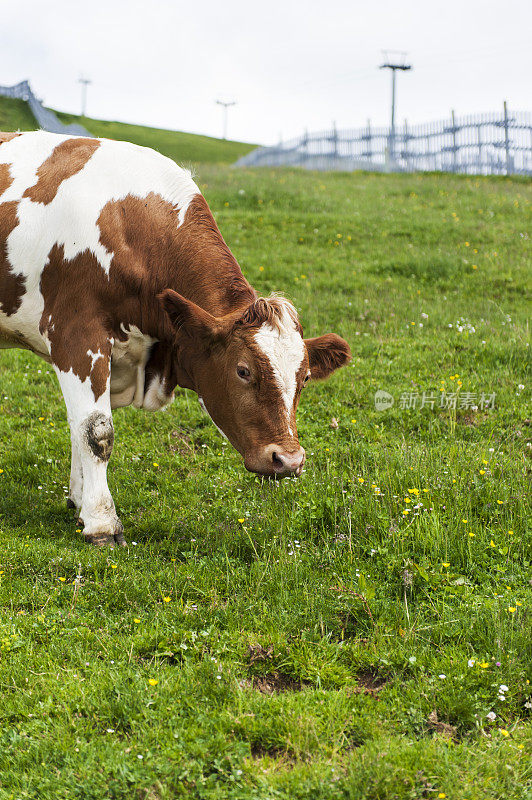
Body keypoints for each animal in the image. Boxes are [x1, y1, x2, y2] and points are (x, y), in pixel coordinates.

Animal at [1, 131, 354, 548]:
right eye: (243, 371)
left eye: (305, 377)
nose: (289, 460)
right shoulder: (76, 335)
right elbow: (95, 432)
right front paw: (102, 522)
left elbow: (78, 426)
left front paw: (79, 501)